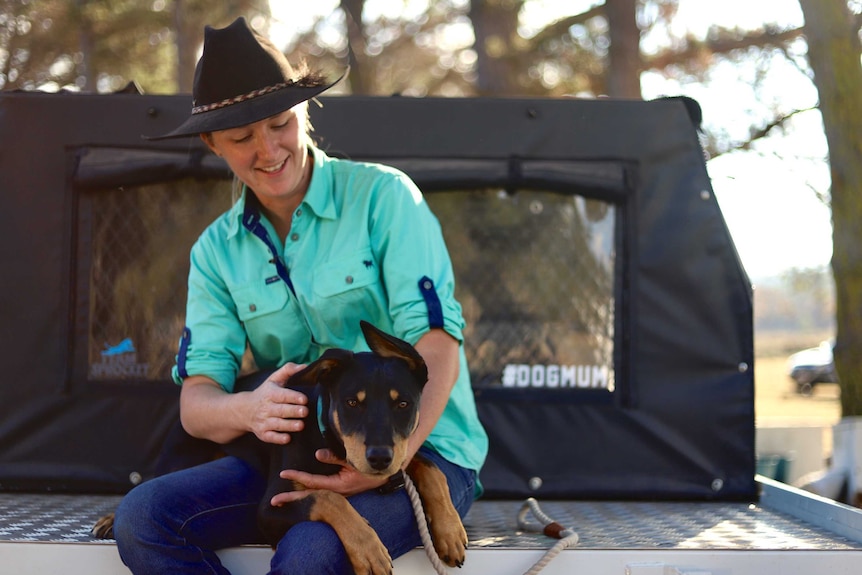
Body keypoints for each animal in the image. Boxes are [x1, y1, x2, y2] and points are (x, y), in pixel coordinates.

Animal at [92, 322, 470, 572]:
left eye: (403, 404)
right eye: (352, 402)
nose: (379, 459)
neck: (327, 438)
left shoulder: (401, 453)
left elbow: (429, 466)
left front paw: (449, 529)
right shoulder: (270, 507)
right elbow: (327, 497)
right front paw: (368, 548)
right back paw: (110, 518)